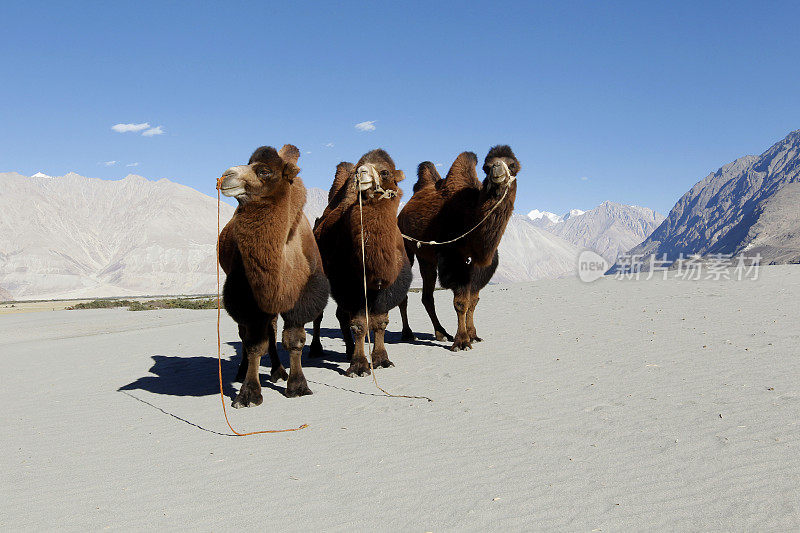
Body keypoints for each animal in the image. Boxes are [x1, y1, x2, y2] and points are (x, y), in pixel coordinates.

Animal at [216, 143, 328, 406]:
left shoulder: (301, 295)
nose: (226, 176)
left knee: (272, 329)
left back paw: (278, 371)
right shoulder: (247, 297)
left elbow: (294, 340)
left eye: (264, 171)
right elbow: (255, 345)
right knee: (247, 334)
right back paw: (244, 370)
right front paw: (248, 393)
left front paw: (297, 386)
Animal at [310, 148, 412, 376]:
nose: (361, 174)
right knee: (321, 315)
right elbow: (358, 324)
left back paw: (348, 351)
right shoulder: (351, 285)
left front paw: (382, 359)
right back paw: (316, 349)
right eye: (358, 168)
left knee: (340, 314)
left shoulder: (387, 286)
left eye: (385, 171)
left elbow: (380, 322)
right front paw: (359, 366)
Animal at [398, 145, 520, 352]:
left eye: (512, 165)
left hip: (427, 257)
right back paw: (408, 333)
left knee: (427, 296)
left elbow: (473, 300)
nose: (497, 168)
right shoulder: (453, 258)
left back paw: (441, 333)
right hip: (406, 246)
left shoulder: (481, 263)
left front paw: (473, 334)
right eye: (486, 167)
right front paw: (462, 341)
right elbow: (461, 302)